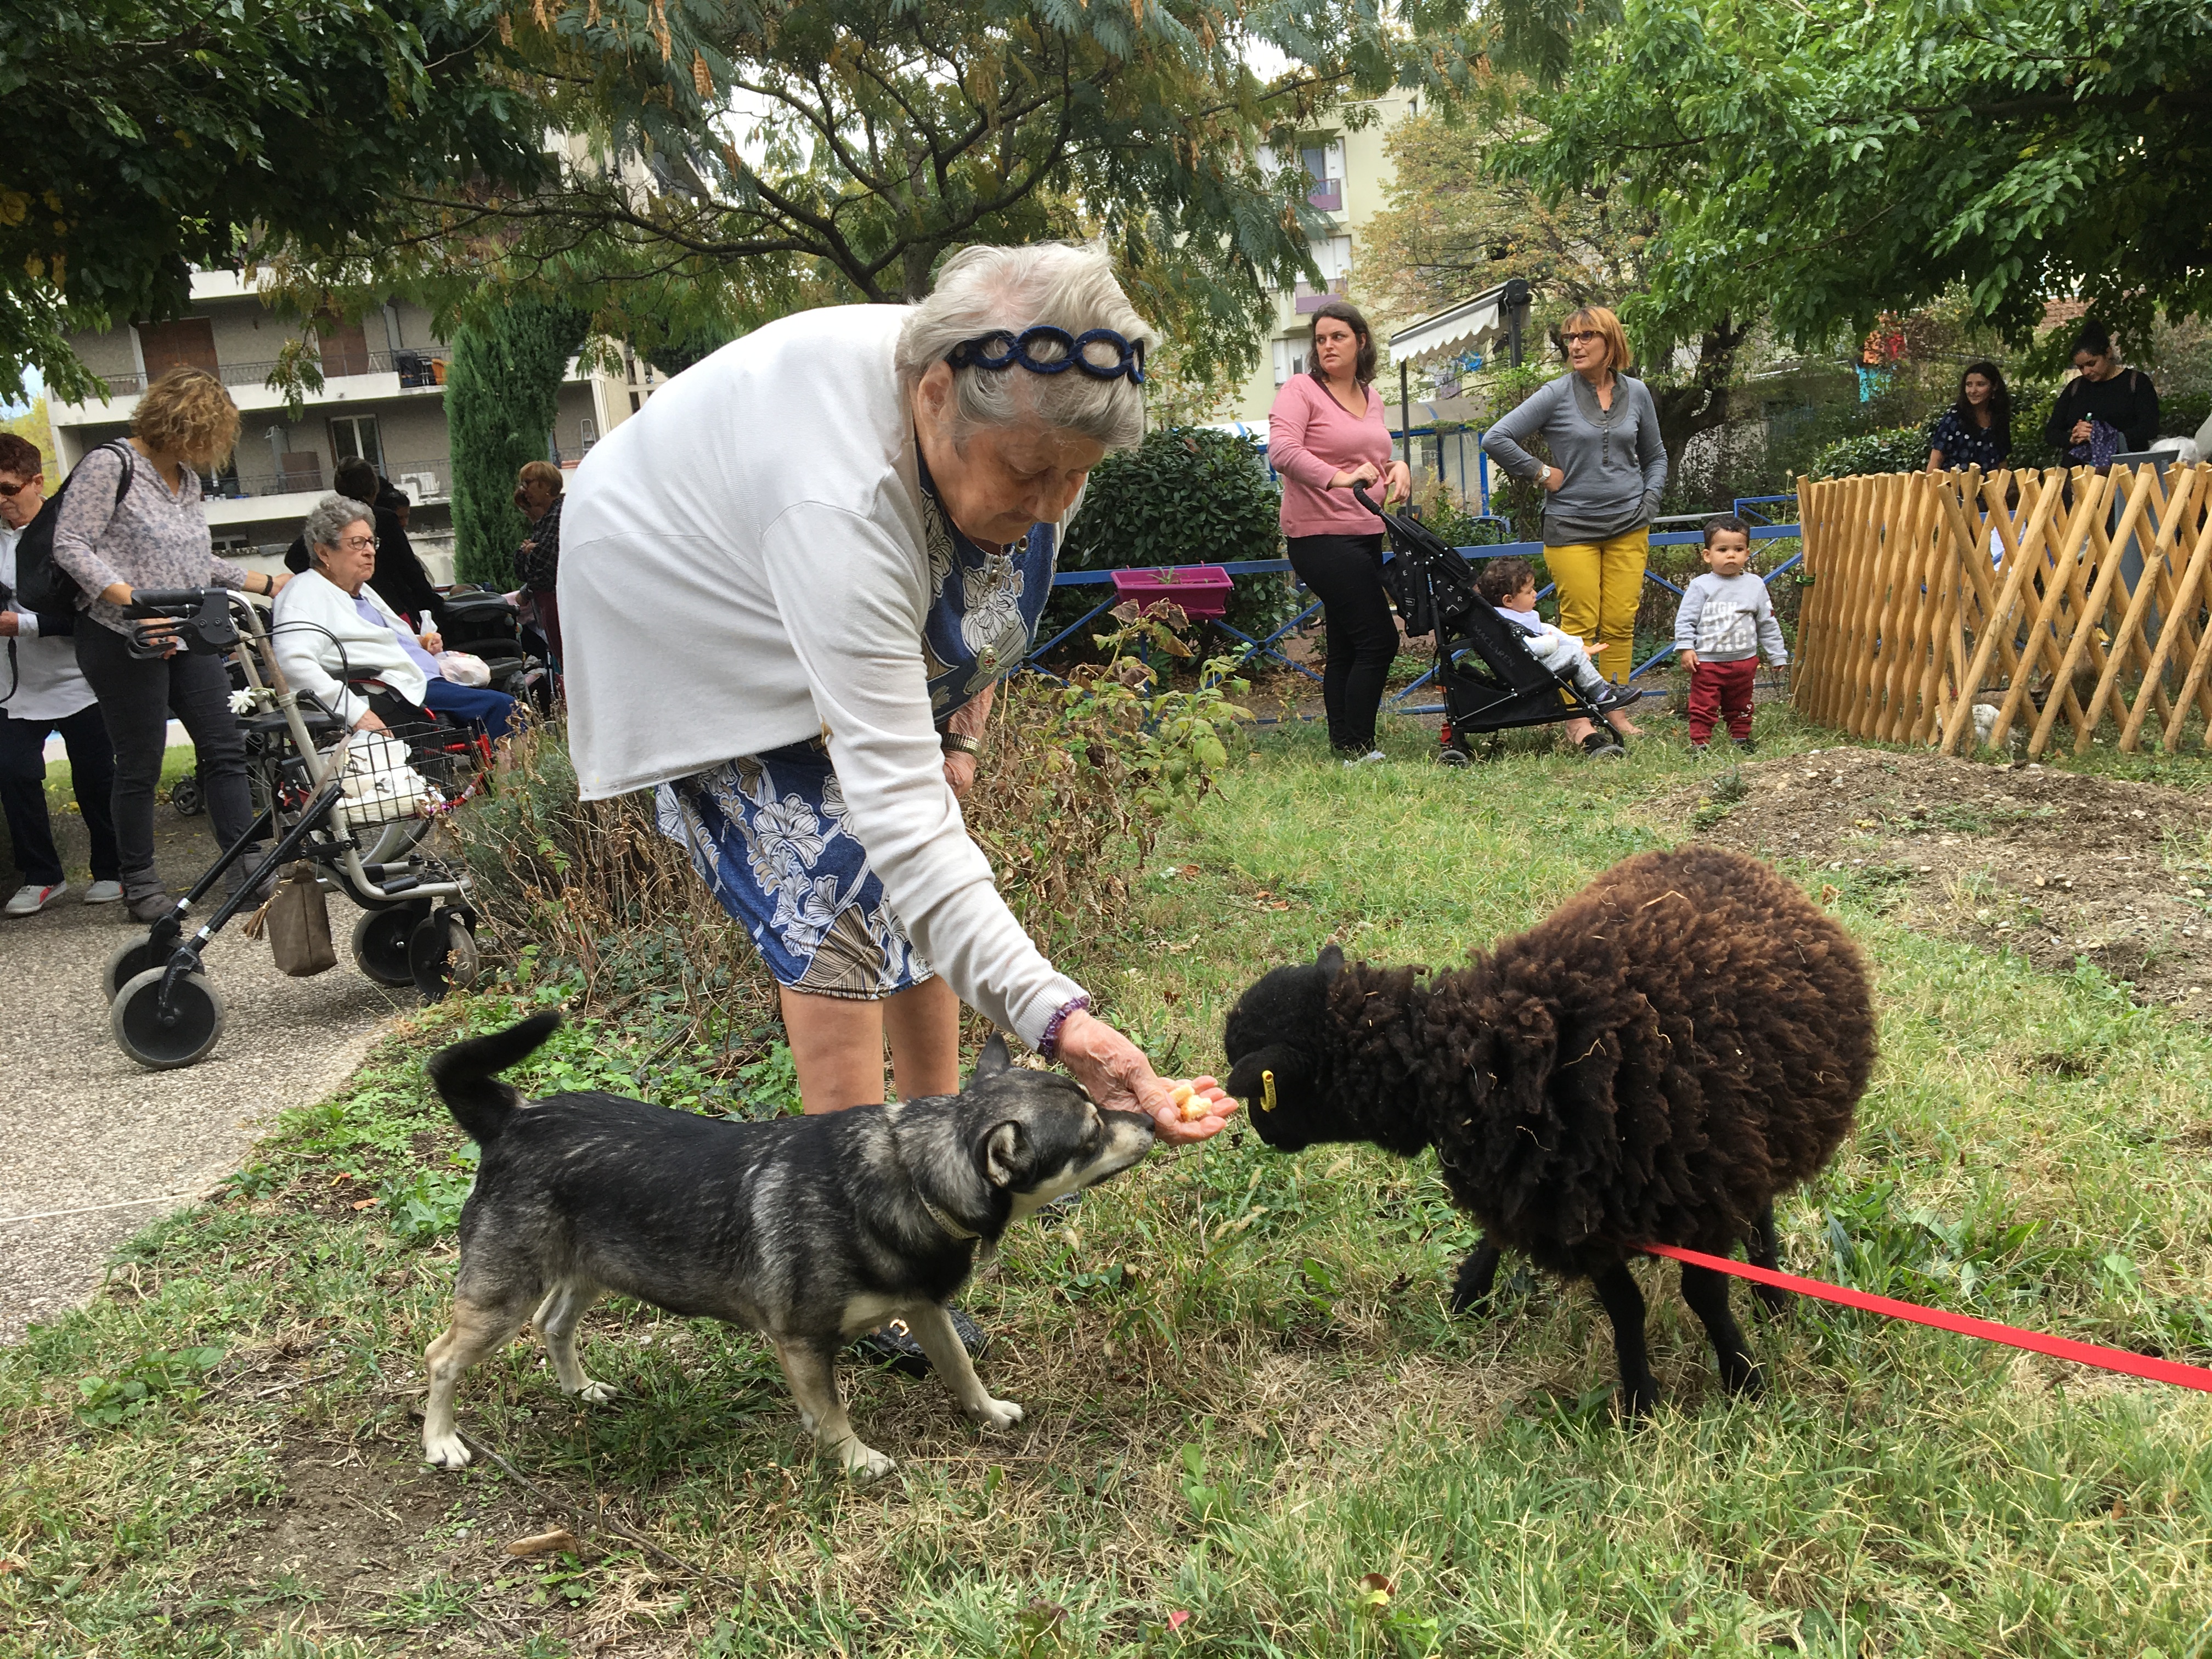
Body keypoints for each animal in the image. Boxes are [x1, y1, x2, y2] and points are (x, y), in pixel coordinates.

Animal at [413, 1013, 1159, 1477]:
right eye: (1092, 1135)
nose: (1151, 1120)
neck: (912, 1176)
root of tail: (511, 1119)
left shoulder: (925, 1311)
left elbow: (960, 1371)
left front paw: (989, 1412)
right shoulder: (801, 1343)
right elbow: (831, 1410)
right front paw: (856, 1460)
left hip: (588, 1271)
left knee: (554, 1324)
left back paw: (579, 1388)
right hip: (502, 1297)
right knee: (443, 1357)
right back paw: (442, 1440)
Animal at [1221, 845, 1876, 1415]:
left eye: (1263, 1090)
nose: (1264, 1136)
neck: (1478, 1057)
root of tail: (1722, 853)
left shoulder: (1697, 1195)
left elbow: (1705, 1296)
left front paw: (1744, 1382)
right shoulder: (1578, 1210)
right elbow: (1625, 1307)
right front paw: (1641, 1405)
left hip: (1749, 1137)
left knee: (1760, 1207)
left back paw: (1773, 1298)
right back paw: (1473, 1289)